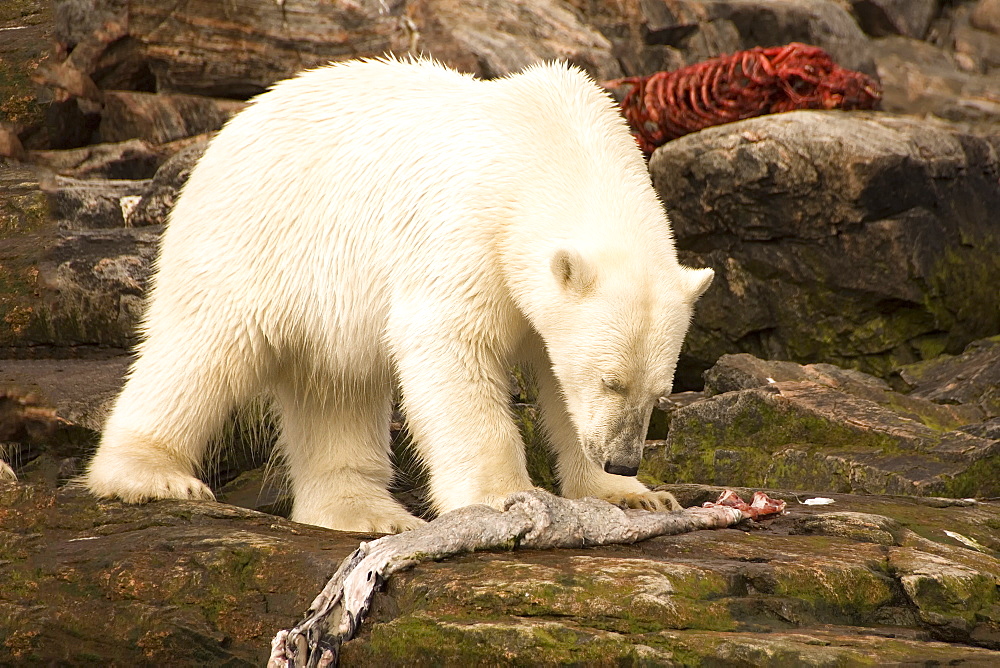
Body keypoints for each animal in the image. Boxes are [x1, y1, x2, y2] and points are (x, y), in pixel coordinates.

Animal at [84, 60, 712, 536]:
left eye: (660, 390)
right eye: (610, 380)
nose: (623, 458)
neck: (553, 143)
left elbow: (557, 381)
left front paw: (632, 493)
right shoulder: (470, 233)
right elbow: (451, 346)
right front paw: (504, 498)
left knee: (336, 386)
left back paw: (367, 514)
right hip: (253, 243)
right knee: (203, 350)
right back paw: (151, 476)